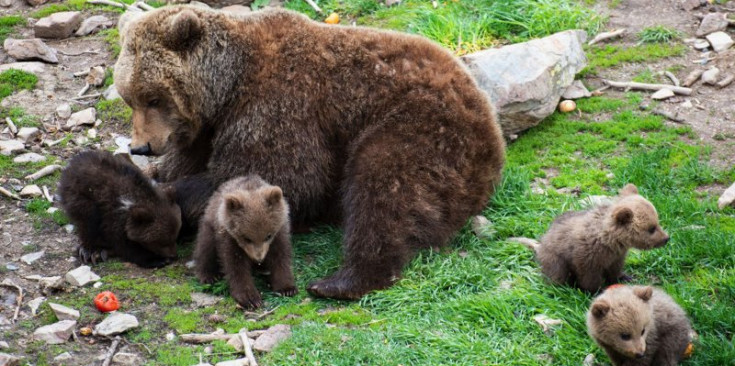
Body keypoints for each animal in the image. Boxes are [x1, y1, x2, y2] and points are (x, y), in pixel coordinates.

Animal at [116, 6, 506, 300]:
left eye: (154, 97)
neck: (227, 91)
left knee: (384, 191)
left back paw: (339, 282)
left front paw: (159, 199)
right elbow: (184, 166)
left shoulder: (281, 106)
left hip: (421, 127)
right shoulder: (204, 133)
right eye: (129, 97)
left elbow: (280, 179)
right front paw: (145, 176)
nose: (141, 146)